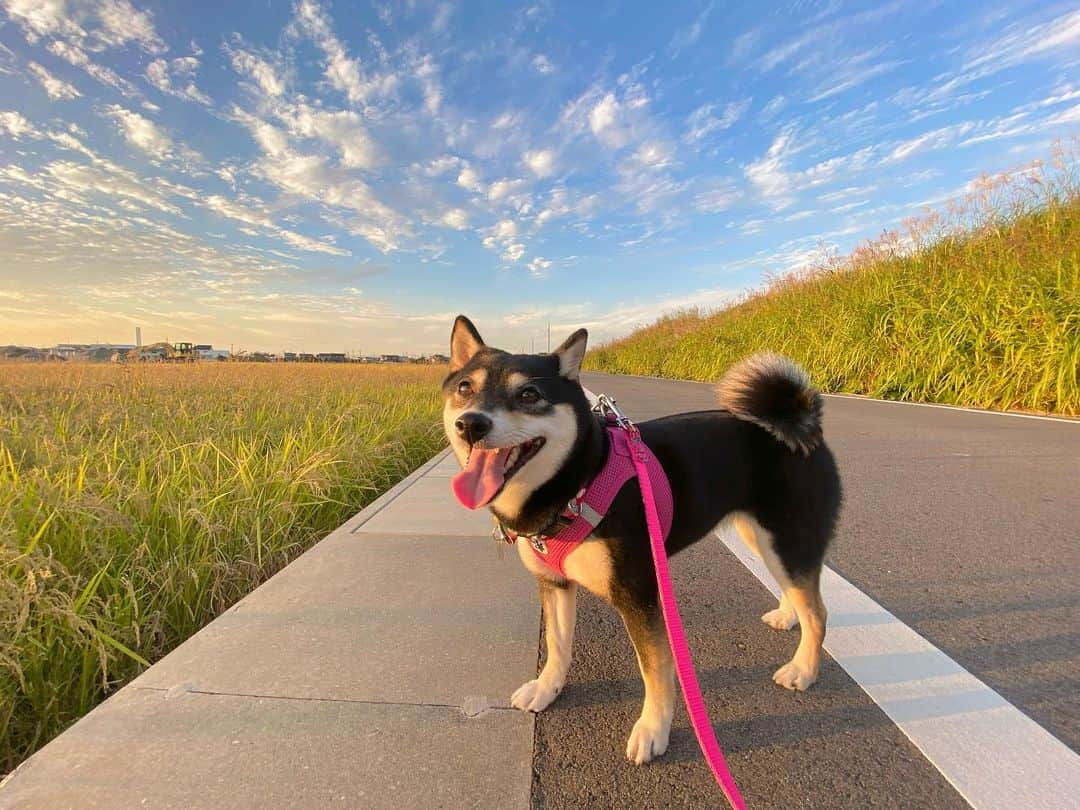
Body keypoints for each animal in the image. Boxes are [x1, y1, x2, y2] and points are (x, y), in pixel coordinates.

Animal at [440, 315, 842, 768]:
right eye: (465, 388)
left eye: (529, 394)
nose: (471, 423)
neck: (578, 483)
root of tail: (803, 424)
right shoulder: (555, 584)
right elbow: (558, 648)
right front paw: (546, 689)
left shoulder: (639, 595)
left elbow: (656, 672)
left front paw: (653, 731)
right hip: (759, 535)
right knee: (796, 590)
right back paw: (788, 615)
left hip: (789, 536)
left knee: (818, 611)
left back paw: (803, 668)